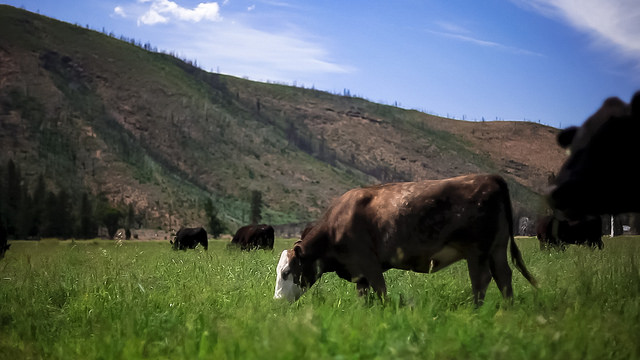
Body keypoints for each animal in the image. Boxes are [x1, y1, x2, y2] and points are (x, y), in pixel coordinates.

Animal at [272, 174, 536, 304]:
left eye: (286, 272)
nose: (276, 301)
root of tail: (490, 177)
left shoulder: (369, 263)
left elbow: (380, 291)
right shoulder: (359, 272)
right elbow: (363, 297)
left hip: (477, 251)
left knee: (481, 280)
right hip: (496, 249)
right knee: (504, 276)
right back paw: (507, 308)